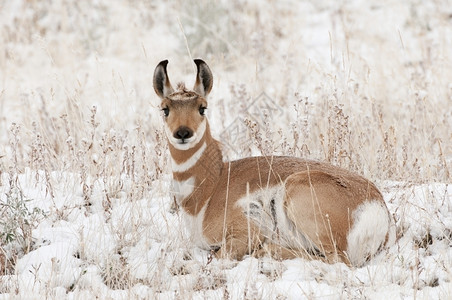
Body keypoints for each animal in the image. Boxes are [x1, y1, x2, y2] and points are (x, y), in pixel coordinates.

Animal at [154, 59, 394, 266]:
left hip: (297, 194)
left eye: (202, 108)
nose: (182, 133)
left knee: (336, 259)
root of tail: (376, 206)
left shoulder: (248, 232)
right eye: (165, 109)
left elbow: (219, 256)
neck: (211, 189)